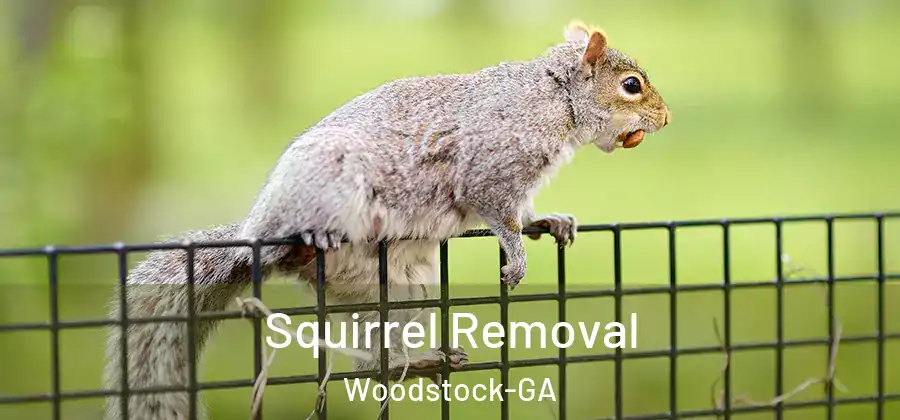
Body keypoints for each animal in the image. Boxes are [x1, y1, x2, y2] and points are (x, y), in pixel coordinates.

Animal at [102, 20, 670, 420]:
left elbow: (524, 211)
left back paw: (416, 361)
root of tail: (253, 237)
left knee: (372, 363)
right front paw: (516, 257)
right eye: (631, 85)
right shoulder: (489, 168)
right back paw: (309, 239)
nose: (665, 120)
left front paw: (549, 222)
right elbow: (498, 214)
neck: (554, 98)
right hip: (326, 186)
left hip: (399, 290)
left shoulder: (519, 183)